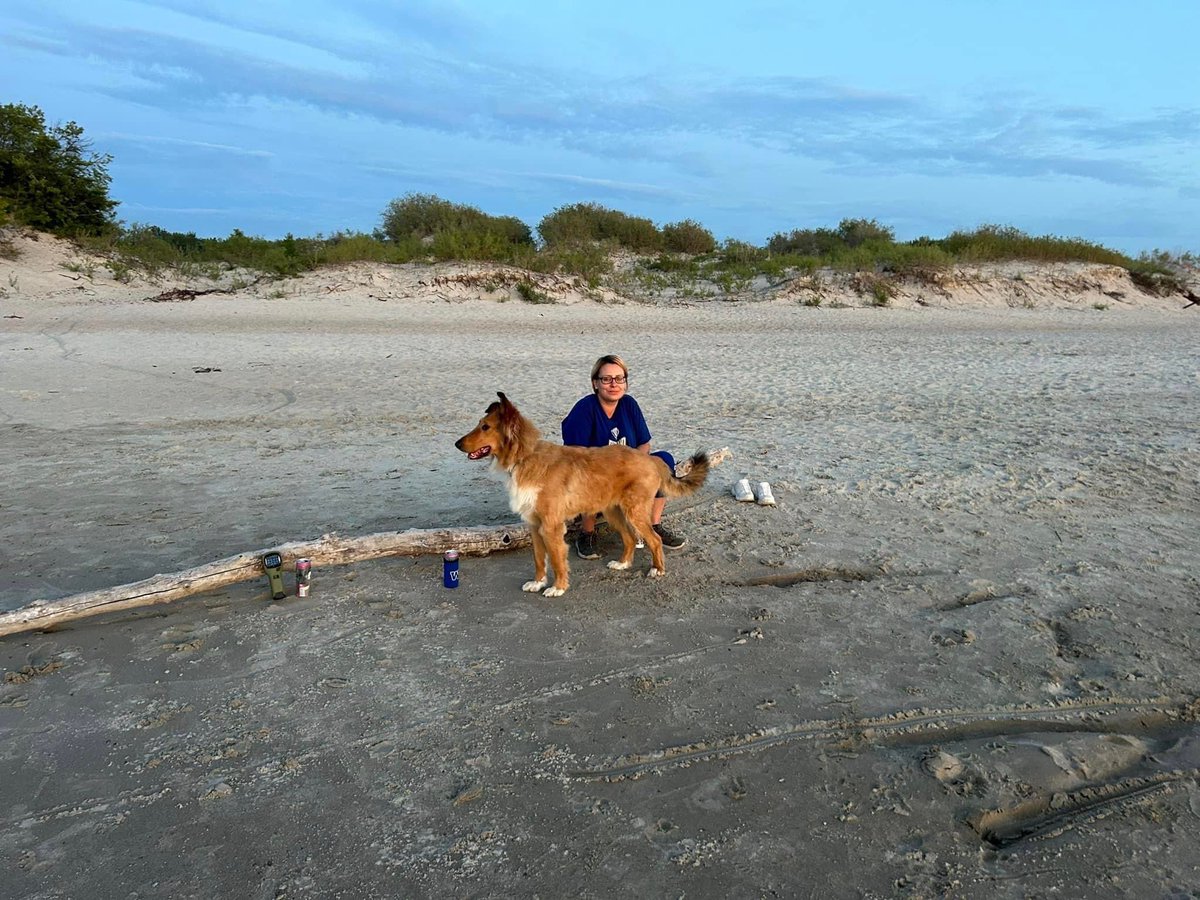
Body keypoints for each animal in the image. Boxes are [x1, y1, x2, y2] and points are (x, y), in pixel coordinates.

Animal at [453, 393, 705, 600]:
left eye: (485, 427)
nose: (457, 444)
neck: (524, 457)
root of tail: (651, 459)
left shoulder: (551, 526)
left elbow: (556, 559)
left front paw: (558, 587)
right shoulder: (534, 525)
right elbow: (538, 558)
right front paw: (537, 583)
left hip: (634, 512)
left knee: (654, 539)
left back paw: (657, 569)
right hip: (614, 512)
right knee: (630, 538)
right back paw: (622, 564)